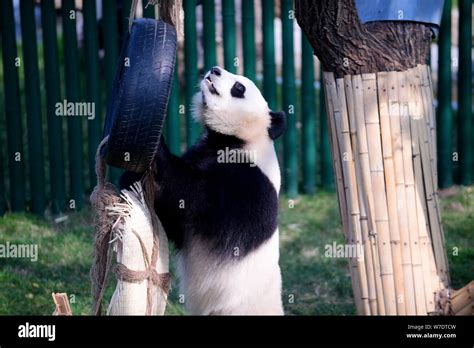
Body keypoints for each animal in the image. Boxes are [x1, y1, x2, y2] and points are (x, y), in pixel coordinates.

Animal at [120, 66, 286, 316]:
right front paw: (129, 178)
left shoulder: (250, 185)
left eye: (239, 87)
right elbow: (176, 224)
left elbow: (194, 198)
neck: (240, 141)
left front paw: (159, 148)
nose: (214, 69)